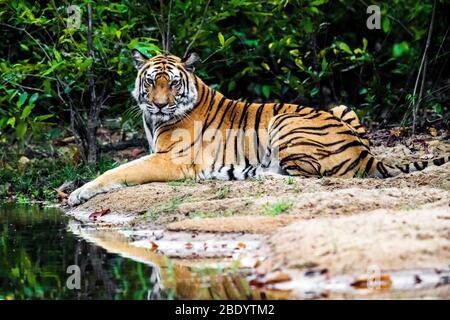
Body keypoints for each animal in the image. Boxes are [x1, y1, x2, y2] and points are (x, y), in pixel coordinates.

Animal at [67, 50, 450, 205]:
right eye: (151, 81)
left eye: (173, 83)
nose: (159, 104)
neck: (156, 119)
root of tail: (366, 154)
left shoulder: (170, 160)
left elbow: (116, 171)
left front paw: (76, 194)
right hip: (342, 108)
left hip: (286, 122)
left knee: (306, 175)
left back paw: (254, 174)